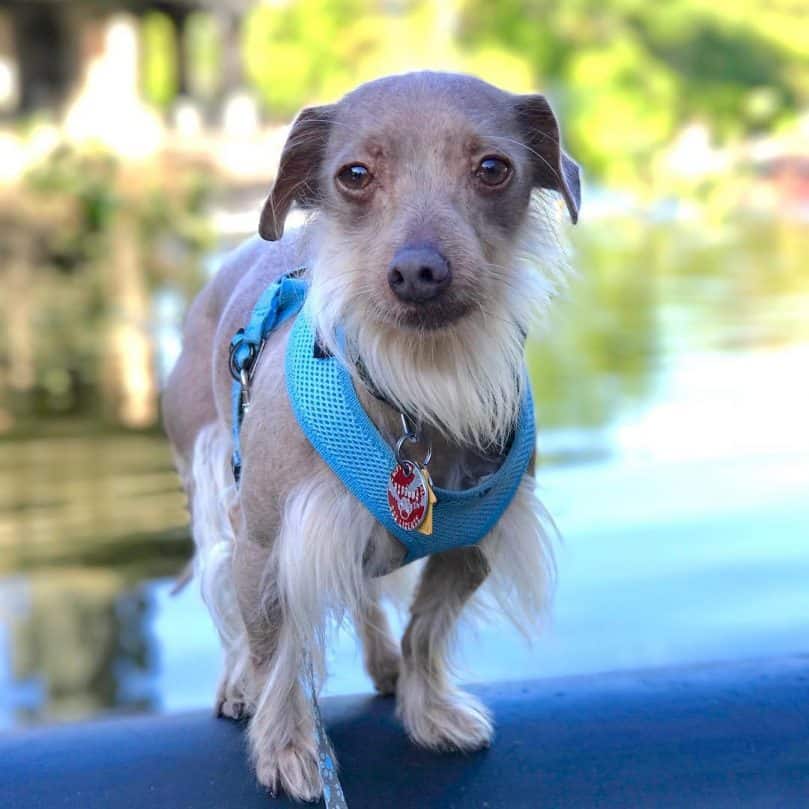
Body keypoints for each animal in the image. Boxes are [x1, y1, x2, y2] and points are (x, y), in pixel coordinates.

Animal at [163, 71, 576, 800]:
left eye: (493, 168)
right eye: (353, 175)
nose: (418, 271)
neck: (419, 388)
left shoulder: (468, 550)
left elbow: (425, 632)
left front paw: (429, 710)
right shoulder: (264, 545)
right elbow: (275, 653)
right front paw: (285, 748)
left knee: (363, 599)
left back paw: (383, 666)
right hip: (212, 487)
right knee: (228, 607)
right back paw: (236, 686)